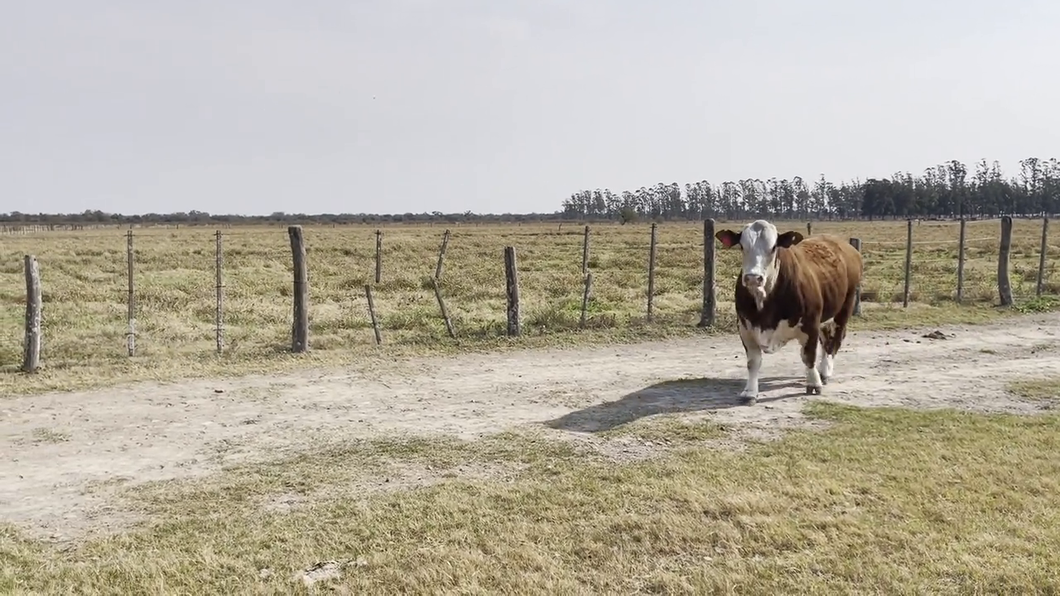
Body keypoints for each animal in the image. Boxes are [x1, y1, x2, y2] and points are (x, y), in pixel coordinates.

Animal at [716, 219, 864, 402]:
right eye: (742, 246)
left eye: (773, 247)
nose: (752, 277)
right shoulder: (745, 327)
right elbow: (753, 362)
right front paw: (750, 392)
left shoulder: (810, 325)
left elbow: (808, 356)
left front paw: (814, 383)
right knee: (826, 339)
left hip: (845, 307)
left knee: (834, 340)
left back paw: (825, 371)